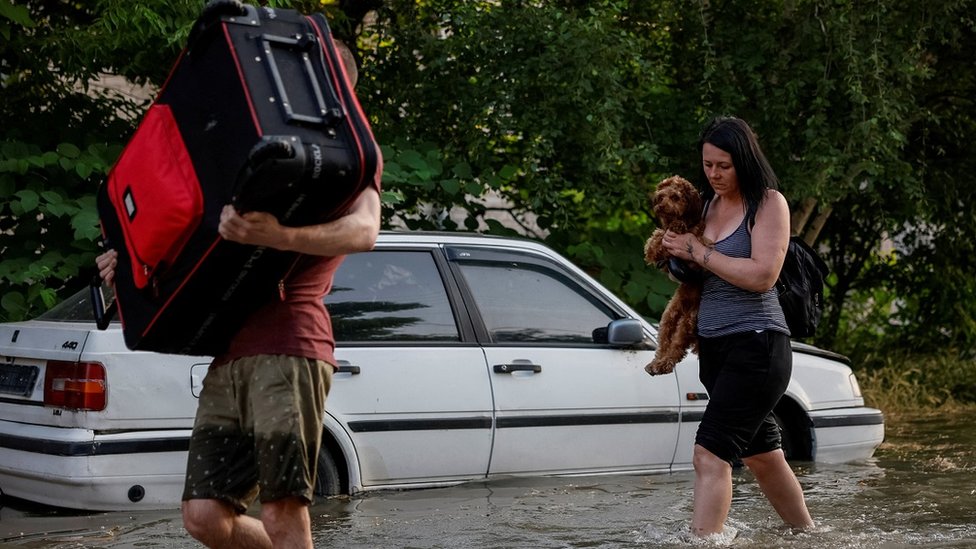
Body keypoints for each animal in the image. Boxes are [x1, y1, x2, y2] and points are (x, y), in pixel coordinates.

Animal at [644, 176, 704, 376]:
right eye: (661, 196)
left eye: (676, 197)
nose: (660, 204)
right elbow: (655, 240)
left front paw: (678, 226)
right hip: (670, 315)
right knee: (664, 342)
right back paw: (656, 363)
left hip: (689, 320)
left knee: (677, 347)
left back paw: (664, 363)